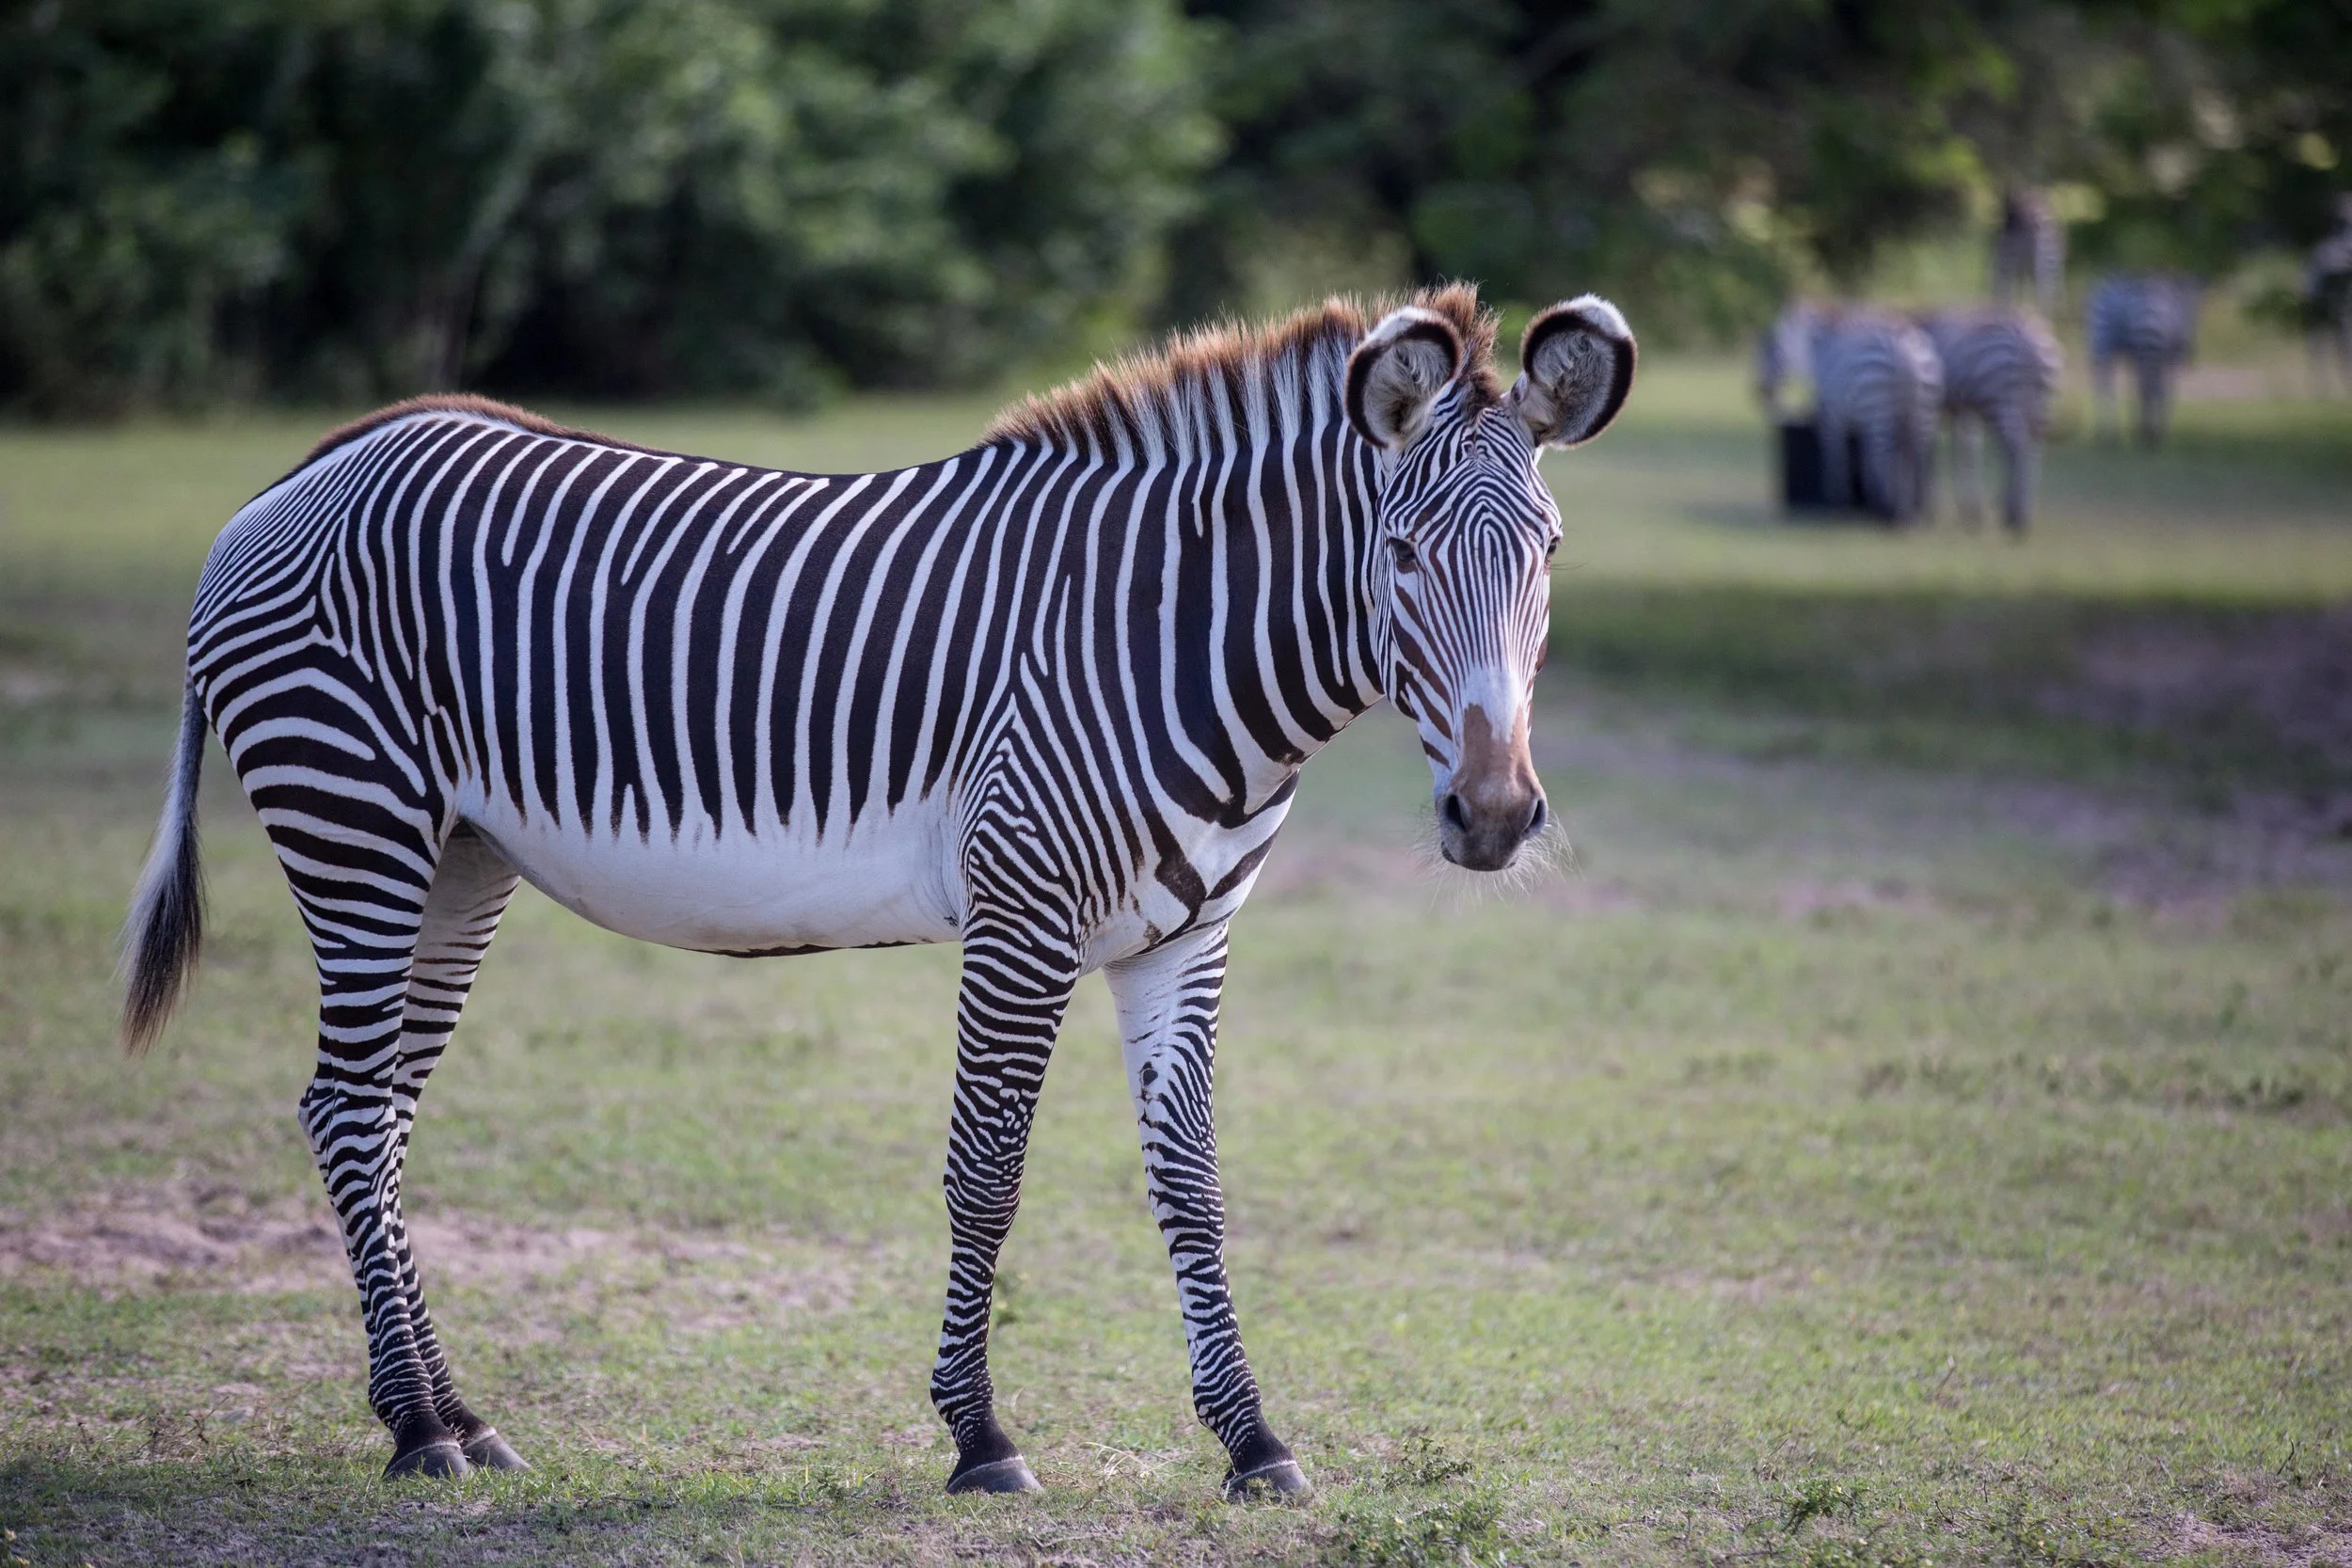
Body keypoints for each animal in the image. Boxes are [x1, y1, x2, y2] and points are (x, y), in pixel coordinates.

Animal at [117, 286, 1635, 1497]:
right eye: (1402, 555)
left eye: (1552, 551)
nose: (1496, 817)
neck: (1166, 640)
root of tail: (315, 465)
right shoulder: (1022, 914)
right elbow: (987, 1172)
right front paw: (980, 1436)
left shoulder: (1186, 937)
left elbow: (1192, 1183)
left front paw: (1253, 1440)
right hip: (355, 823)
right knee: (342, 1107)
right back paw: (417, 1426)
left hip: (455, 859)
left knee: (375, 1115)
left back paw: (454, 1413)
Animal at [1759, 304, 1942, 523]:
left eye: (1773, 346)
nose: (1760, 392)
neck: (1822, 348)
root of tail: (1905, 347)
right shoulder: (1860, 424)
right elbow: (1864, 460)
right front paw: (1866, 499)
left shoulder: (1830, 416)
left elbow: (1836, 458)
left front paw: (1837, 503)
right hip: (1924, 411)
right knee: (1918, 458)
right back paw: (1917, 511)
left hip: (1878, 406)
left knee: (1883, 455)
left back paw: (1888, 512)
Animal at [1915, 306, 2063, 534]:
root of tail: (2029, 342)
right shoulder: (1964, 411)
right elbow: (1965, 454)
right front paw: (1969, 511)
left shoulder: (1937, 407)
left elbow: (1934, 454)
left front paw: (1930, 507)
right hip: (2041, 403)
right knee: (2033, 450)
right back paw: (2020, 511)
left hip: (2002, 401)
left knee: (2016, 448)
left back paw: (2015, 516)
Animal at [2087, 272, 2201, 447]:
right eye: (2193, 311)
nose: (2189, 349)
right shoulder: (2170, 359)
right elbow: (2165, 390)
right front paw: (2157, 429)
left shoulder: (2135, 356)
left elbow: (2137, 389)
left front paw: (2139, 426)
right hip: (2147, 348)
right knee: (2148, 386)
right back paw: (2144, 434)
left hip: (2102, 342)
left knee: (2103, 384)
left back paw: (2109, 434)